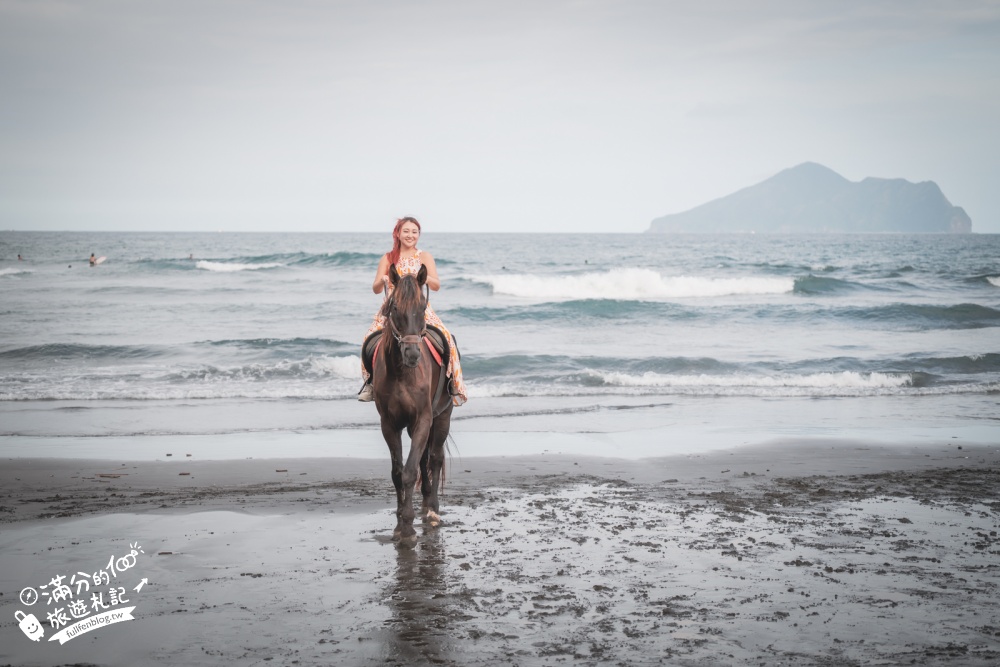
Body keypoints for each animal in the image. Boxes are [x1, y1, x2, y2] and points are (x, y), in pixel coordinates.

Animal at [372, 263, 454, 545]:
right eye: (395, 307)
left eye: (422, 307)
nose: (412, 354)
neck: (401, 372)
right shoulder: (390, 425)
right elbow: (398, 472)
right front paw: (400, 521)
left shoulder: (424, 419)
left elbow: (409, 471)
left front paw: (407, 526)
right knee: (424, 460)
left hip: (442, 417)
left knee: (435, 459)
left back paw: (432, 510)